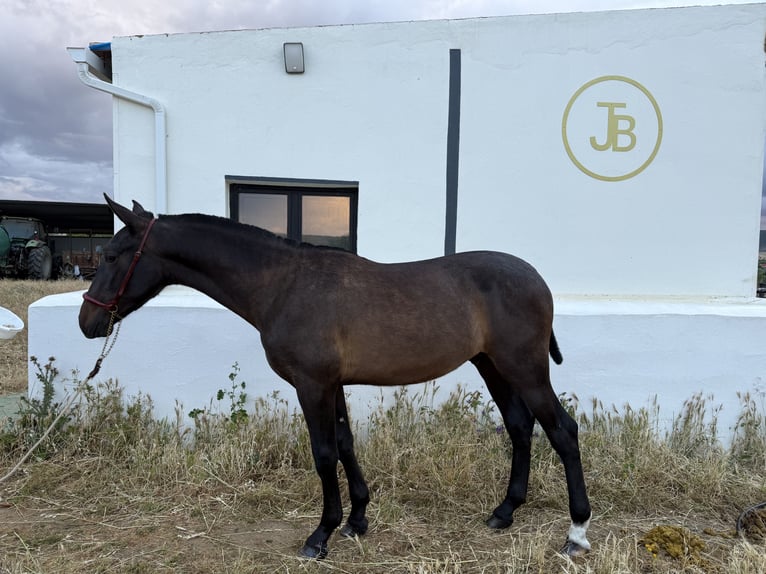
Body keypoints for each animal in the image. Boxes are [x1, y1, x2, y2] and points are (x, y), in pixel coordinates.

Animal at [79, 196, 592, 559]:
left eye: (111, 255)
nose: (88, 322)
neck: (284, 285)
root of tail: (537, 280)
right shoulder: (333, 385)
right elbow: (346, 445)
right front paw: (357, 520)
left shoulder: (312, 385)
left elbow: (324, 454)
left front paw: (320, 534)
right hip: (493, 366)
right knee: (520, 427)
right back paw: (504, 512)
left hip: (524, 369)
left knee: (562, 431)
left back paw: (577, 533)